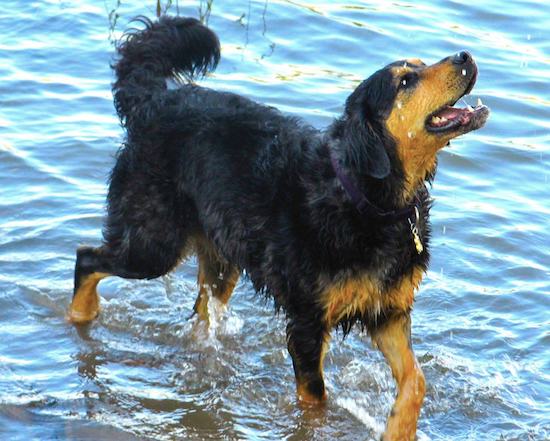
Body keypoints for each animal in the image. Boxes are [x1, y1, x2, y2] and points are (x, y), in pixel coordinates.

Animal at [69, 16, 492, 440]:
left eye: (420, 65)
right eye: (405, 81)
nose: (465, 55)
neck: (367, 198)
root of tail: (154, 104)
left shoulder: (387, 310)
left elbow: (416, 380)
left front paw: (398, 429)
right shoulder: (308, 320)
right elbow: (316, 401)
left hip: (220, 258)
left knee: (202, 312)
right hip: (153, 244)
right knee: (87, 258)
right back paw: (80, 316)